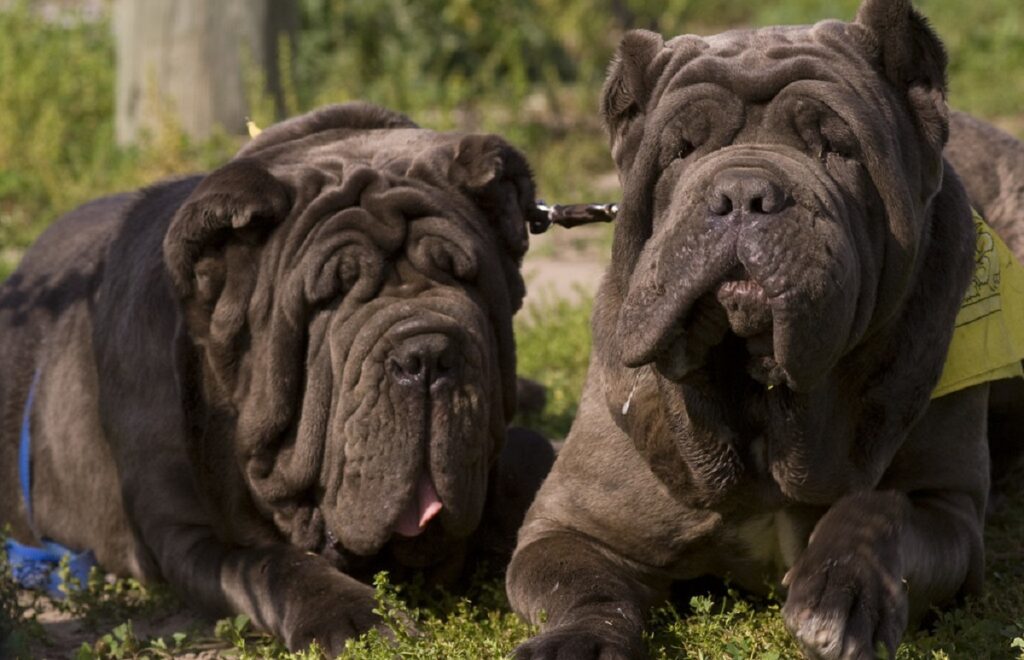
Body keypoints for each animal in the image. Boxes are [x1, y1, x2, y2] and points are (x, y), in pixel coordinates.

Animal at [0, 104, 552, 654]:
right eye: (330, 296)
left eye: (463, 278)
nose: (427, 354)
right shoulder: (187, 536)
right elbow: (275, 565)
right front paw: (361, 622)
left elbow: (537, 462)